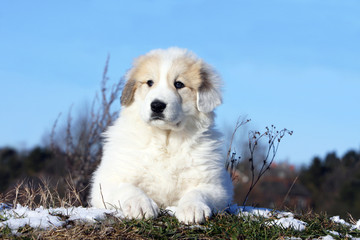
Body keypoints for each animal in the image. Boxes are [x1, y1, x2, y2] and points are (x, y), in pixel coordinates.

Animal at [88, 47, 232, 223]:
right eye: (150, 82)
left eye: (179, 84)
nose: (157, 105)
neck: (165, 140)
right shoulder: (108, 181)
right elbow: (128, 188)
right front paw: (140, 206)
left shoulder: (215, 186)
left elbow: (197, 192)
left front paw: (192, 208)